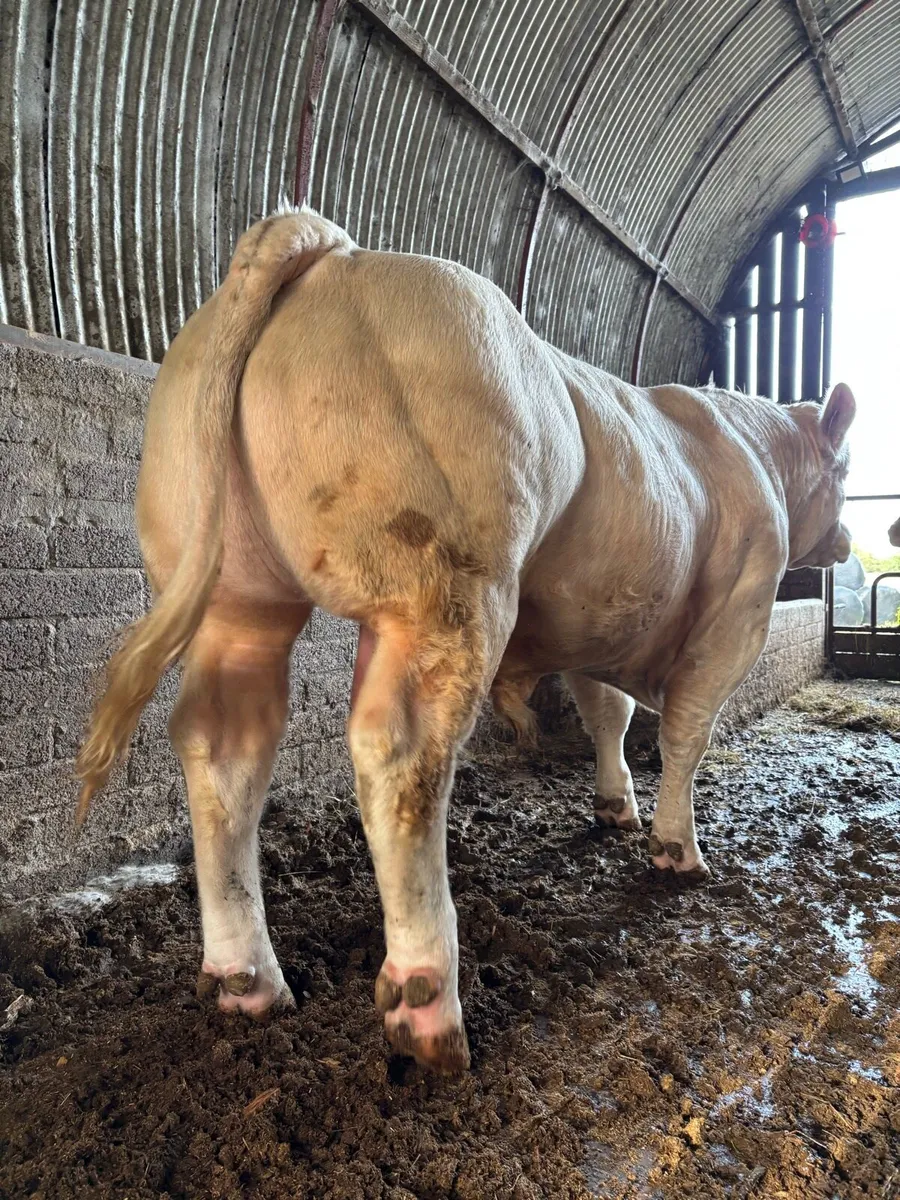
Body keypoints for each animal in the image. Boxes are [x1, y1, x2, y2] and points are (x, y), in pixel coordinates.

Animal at [75, 208, 855, 1074]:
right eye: (846, 470)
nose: (848, 540)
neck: (752, 451)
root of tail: (332, 248)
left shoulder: (602, 620)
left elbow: (607, 716)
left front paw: (614, 805)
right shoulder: (737, 616)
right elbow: (685, 735)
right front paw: (677, 847)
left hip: (238, 598)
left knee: (224, 750)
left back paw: (246, 979)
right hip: (444, 590)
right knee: (401, 756)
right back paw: (427, 1003)